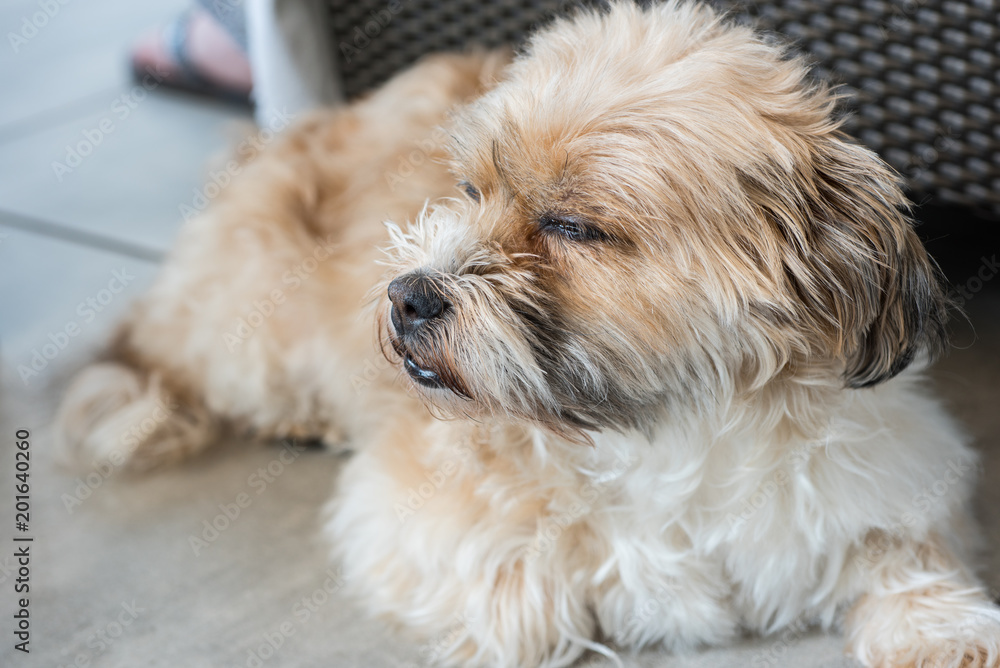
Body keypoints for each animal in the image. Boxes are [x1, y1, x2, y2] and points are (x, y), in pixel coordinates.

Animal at [56, 1, 1000, 668]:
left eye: (573, 226)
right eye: (470, 192)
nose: (408, 294)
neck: (665, 426)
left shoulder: (885, 482)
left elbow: (905, 555)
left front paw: (945, 629)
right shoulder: (411, 509)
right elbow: (522, 600)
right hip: (251, 335)